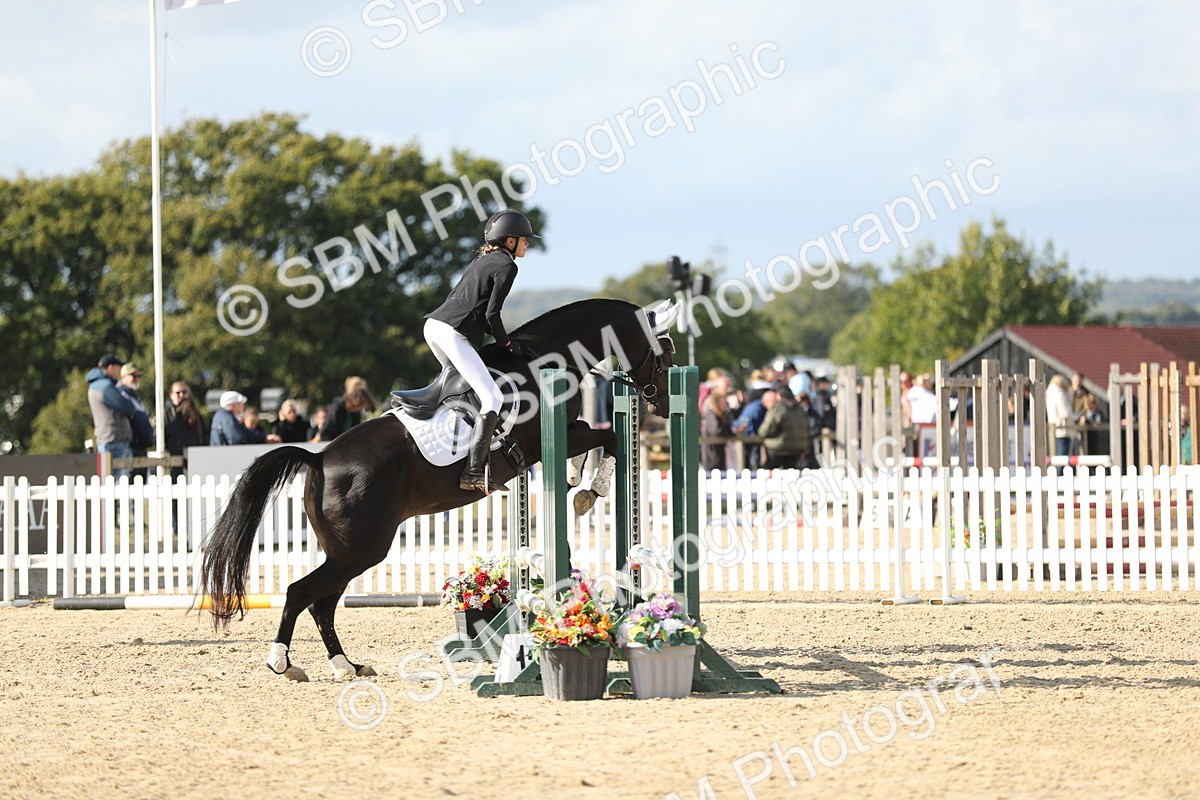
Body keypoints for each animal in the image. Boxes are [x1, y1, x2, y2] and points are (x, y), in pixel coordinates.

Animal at [200, 298, 678, 681]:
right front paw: (589, 489)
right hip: (361, 550)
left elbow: (598, 442)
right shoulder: (555, 435)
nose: (661, 403)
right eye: (666, 351)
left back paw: (346, 666)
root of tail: (319, 459)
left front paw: (579, 483)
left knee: (322, 603)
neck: (550, 356)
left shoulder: (562, 435)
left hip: (347, 552)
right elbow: (608, 438)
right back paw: (283, 663)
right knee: (302, 594)